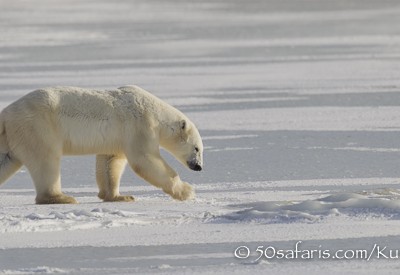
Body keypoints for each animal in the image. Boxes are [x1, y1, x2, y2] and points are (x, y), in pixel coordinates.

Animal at [0, 86, 203, 205]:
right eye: (197, 149)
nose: (199, 166)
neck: (154, 111)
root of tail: (5, 114)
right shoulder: (140, 125)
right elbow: (145, 159)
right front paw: (187, 191)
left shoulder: (118, 136)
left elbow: (110, 161)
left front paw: (119, 196)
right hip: (37, 126)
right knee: (46, 159)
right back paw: (61, 197)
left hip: (12, 137)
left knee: (6, 161)